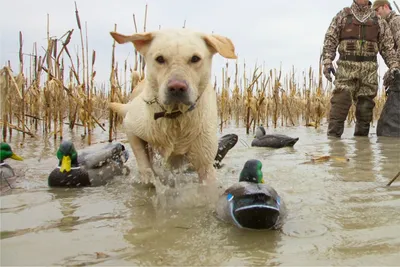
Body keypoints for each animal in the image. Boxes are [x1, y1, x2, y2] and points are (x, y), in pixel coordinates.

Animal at [108, 27, 236, 186]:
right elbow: (143, 161)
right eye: (160, 58)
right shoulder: (130, 126)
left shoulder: (205, 164)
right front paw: (149, 179)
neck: (174, 116)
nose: (177, 87)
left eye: (195, 58)